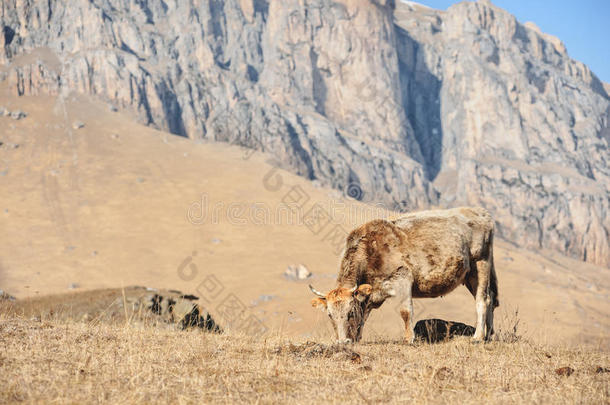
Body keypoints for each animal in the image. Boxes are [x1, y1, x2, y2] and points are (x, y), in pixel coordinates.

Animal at [312, 207, 496, 342]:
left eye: (350, 312)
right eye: (330, 315)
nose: (342, 342)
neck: (369, 250)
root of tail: (481, 212)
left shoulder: (403, 277)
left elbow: (405, 311)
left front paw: (409, 339)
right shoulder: (371, 295)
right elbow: (364, 317)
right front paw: (357, 338)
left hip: (480, 262)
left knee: (483, 300)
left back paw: (478, 337)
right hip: (470, 275)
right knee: (491, 298)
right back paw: (489, 335)